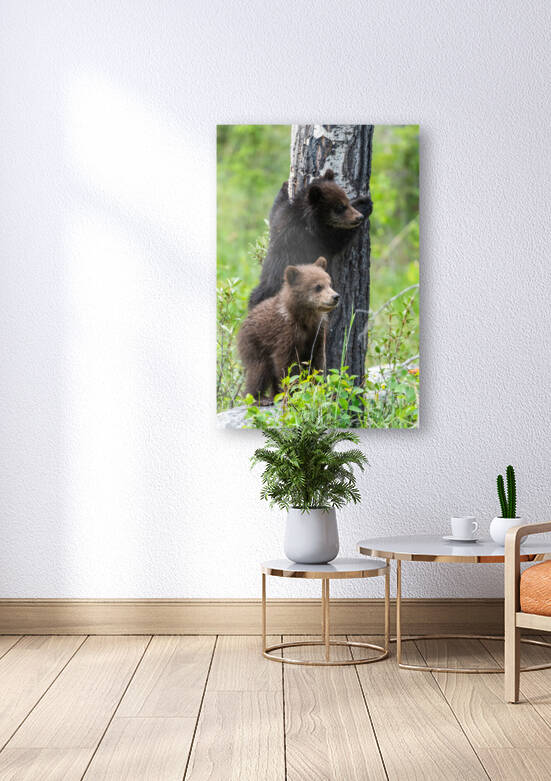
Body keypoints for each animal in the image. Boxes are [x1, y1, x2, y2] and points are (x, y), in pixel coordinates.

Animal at [238, 257, 339, 404]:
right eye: (318, 286)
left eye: (329, 283)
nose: (335, 297)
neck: (304, 317)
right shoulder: (286, 333)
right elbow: (286, 363)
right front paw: (294, 391)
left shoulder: (317, 331)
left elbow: (317, 359)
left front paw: (317, 386)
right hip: (254, 344)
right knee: (259, 370)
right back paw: (258, 397)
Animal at [248, 169, 372, 309]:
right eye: (340, 207)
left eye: (346, 200)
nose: (359, 217)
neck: (309, 219)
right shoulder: (310, 238)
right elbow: (337, 239)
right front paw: (364, 203)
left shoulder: (281, 220)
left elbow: (275, 210)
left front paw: (285, 187)